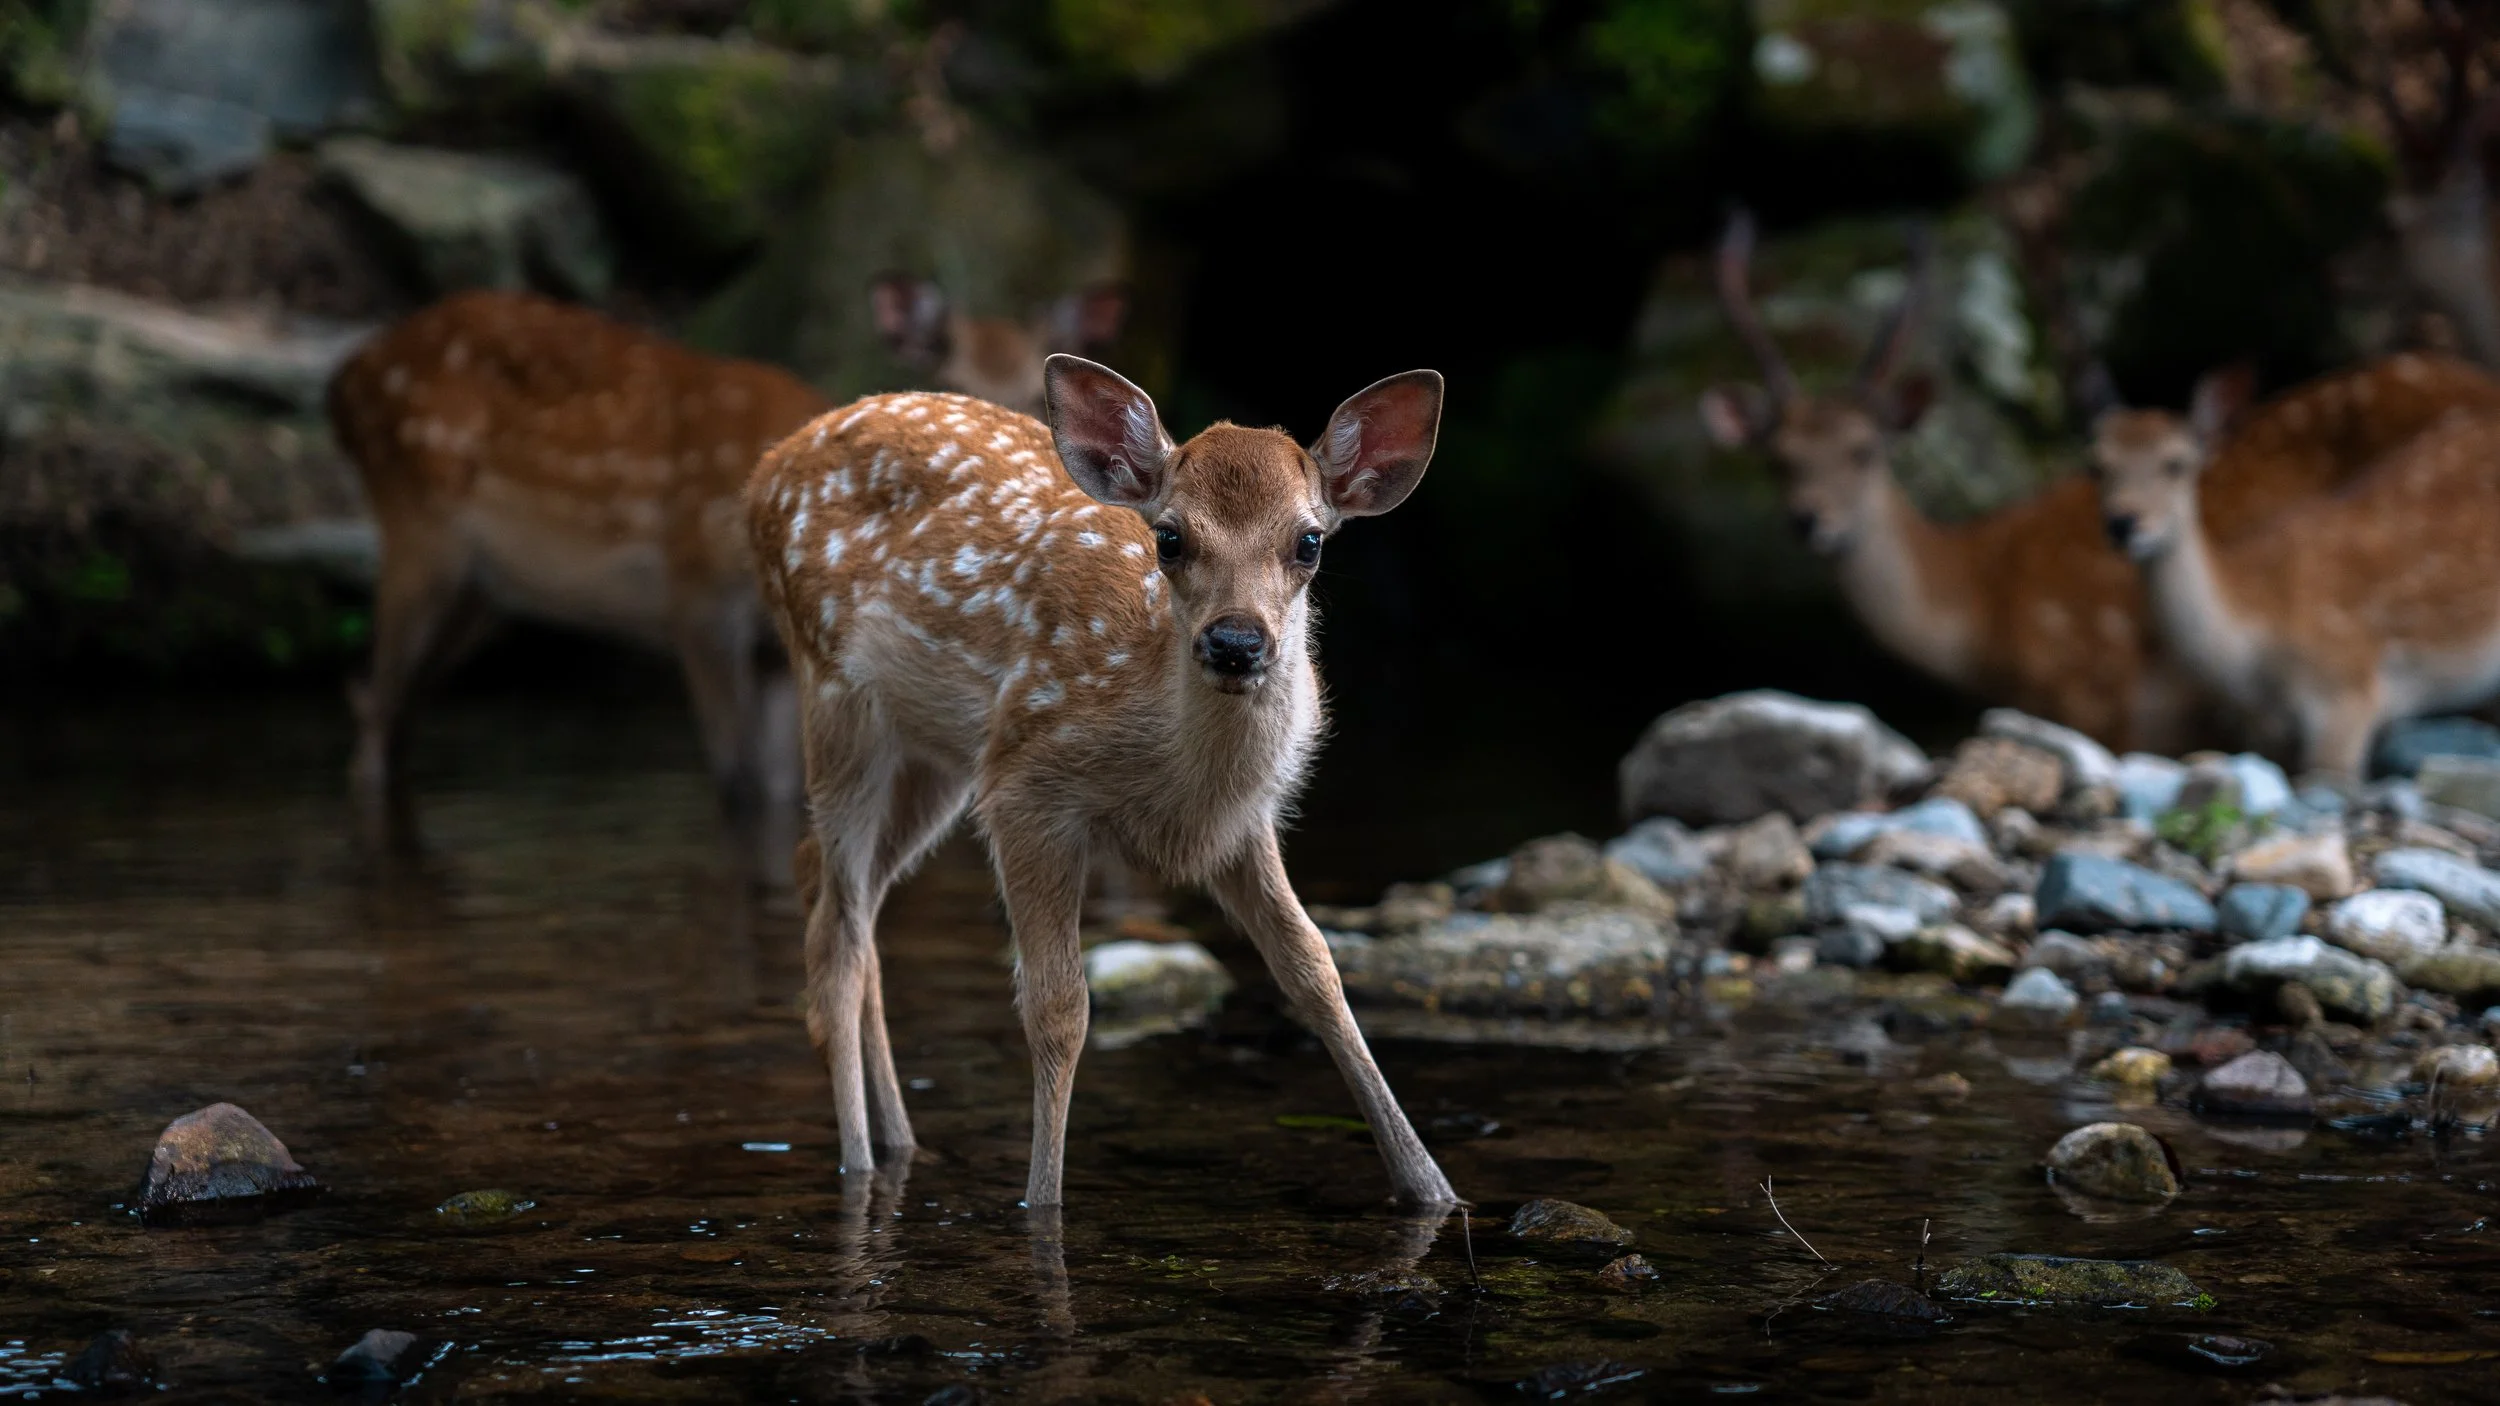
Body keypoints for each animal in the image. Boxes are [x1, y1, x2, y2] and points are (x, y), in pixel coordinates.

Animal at [327, 289, 831, 876]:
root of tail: (344, 380)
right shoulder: (699, 599)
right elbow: (739, 782)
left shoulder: (773, 651)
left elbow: (784, 792)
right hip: (418, 530)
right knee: (376, 711)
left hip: (481, 591)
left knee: (389, 712)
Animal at [747, 356, 1459, 1210]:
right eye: (1171, 538)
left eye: (1309, 541)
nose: (1235, 642)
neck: (1177, 774)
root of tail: (766, 469)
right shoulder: (1027, 784)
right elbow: (1059, 1008)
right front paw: (1042, 1205)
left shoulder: (1241, 825)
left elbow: (1315, 968)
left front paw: (1433, 1189)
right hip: (838, 699)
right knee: (838, 934)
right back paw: (858, 1165)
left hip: (935, 756)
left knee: (830, 885)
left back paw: (901, 1143)